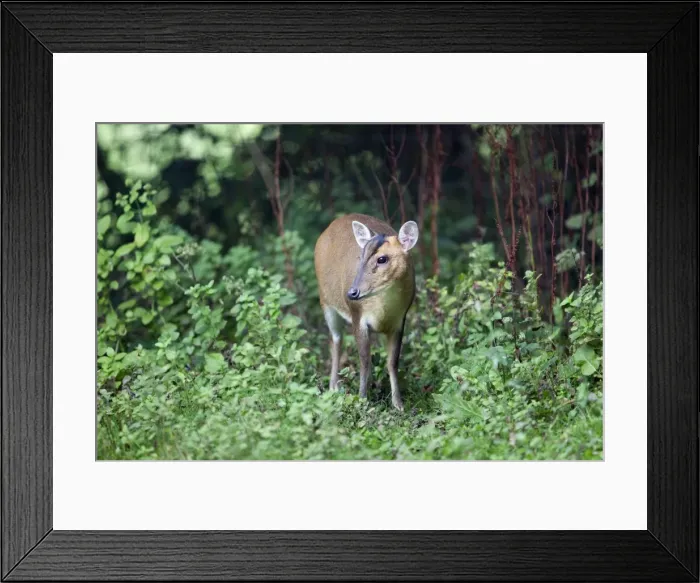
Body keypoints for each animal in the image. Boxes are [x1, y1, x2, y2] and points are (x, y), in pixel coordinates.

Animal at [314, 213, 419, 411]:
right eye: (361, 256)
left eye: (382, 259)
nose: (352, 292)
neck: (383, 311)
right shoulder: (357, 317)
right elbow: (364, 360)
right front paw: (362, 400)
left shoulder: (399, 321)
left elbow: (392, 362)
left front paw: (399, 404)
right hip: (325, 301)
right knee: (336, 339)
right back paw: (333, 386)